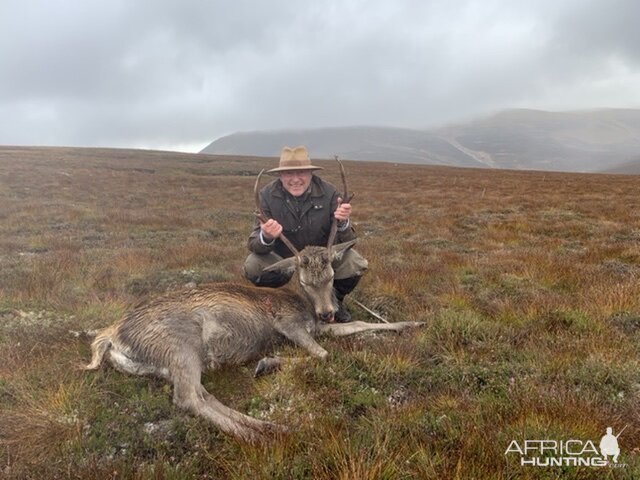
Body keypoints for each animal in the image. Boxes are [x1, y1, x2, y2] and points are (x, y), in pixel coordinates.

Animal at [85, 160, 424, 442]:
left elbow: (360, 323)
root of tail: (110, 336)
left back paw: (266, 426)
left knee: (201, 394)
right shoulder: (289, 324)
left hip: (168, 363)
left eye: (330, 275)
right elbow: (323, 355)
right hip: (180, 344)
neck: (304, 308)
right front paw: (267, 362)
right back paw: (263, 433)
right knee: (187, 398)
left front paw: (413, 322)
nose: (327, 313)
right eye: (303, 281)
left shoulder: (318, 326)